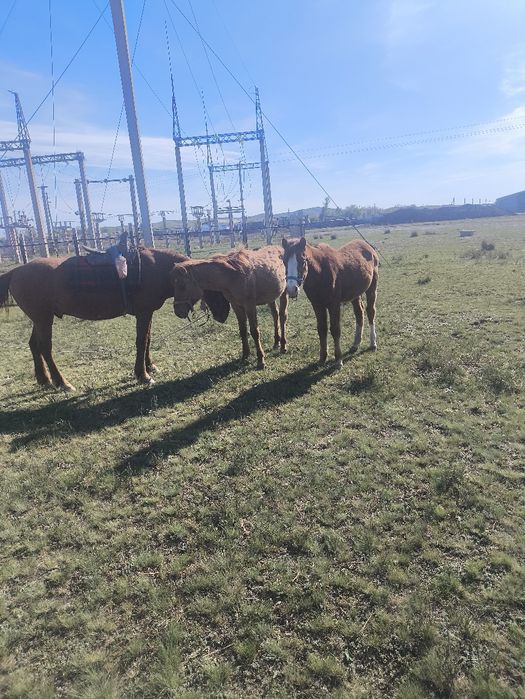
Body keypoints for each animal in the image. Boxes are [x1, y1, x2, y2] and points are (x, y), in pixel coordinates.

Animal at [0, 248, 228, 391]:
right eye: (212, 282)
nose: (223, 313)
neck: (153, 269)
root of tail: (16, 271)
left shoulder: (148, 313)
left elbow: (147, 340)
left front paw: (149, 366)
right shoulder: (143, 313)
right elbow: (141, 341)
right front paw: (143, 375)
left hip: (38, 319)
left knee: (33, 345)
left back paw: (44, 379)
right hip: (43, 319)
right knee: (45, 348)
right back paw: (61, 382)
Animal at [282, 236, 379, 368]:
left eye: (302, 261)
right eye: (284, 261)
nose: (292, 289)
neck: (320, 273)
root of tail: (369, 246)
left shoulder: (334, 305)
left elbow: (335, 330)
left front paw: (338, 360)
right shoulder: (317, 306)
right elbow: (322, 329)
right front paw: (322, 358)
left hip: (371, 288)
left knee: (370, 312)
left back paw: (373, 343)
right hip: (355, 293)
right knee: (359, 313)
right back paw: (355, 344)